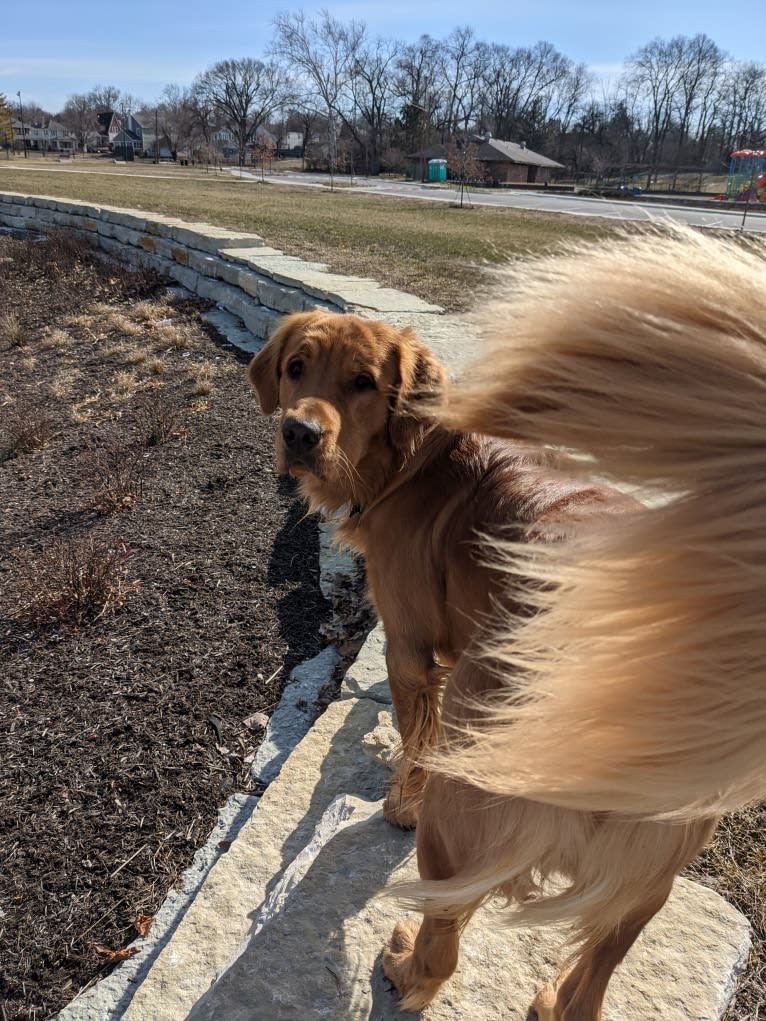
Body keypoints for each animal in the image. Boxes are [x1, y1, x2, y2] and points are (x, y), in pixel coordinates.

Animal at [252, 227, 766, 1016]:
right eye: (295, 367)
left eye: (364, 383)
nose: (299, 432)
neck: (416, 458)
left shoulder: (407, 647)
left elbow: (413, 737)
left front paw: (397, 798)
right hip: (649, 880)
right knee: (595, 977)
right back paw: (555, 999)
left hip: (462, 818)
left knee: (445, 942)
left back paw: (404, 965)